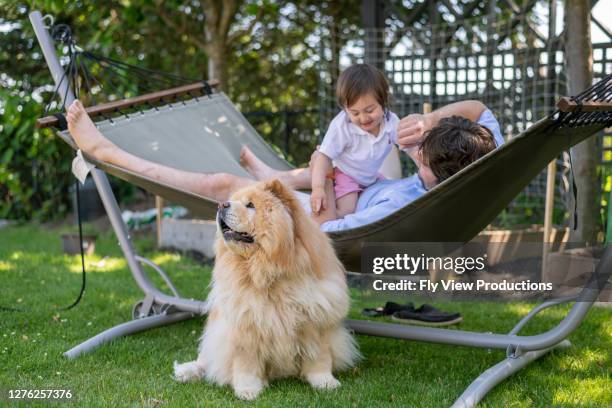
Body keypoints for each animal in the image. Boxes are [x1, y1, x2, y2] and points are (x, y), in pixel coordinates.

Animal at [172, 180, 358, 400]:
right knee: (205, 360)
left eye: (250, 205)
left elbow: (319, 358)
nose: (221, 205)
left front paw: (326, 383)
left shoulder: (316, 321)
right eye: (234, 201)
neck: (267, 273)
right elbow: (246, 365)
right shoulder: (246, 327)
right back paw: (187, 372)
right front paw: (248, 390)